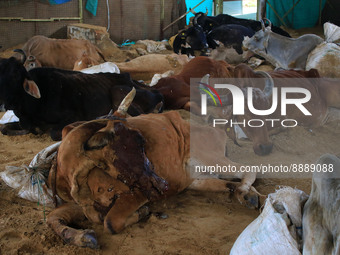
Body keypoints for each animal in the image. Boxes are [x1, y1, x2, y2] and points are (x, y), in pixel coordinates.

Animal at [0, 57, 163, 140]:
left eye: (16, 75)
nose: (4, 103)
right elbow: (5, 129)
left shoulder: (72, 116)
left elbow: (54, 133)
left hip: (118, 91)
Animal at [45, 95, 258, 247]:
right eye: (136, 141)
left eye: (142, 139)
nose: (161, 183)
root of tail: (215, 129)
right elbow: (52, 217)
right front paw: (82, 237)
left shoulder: (136, 194)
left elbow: (110, 222)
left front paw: (143, 212)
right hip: (197, 179)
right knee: (228, 182)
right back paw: (249, 195)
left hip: (210, 158)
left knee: (249, 170)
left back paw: (244, 193)